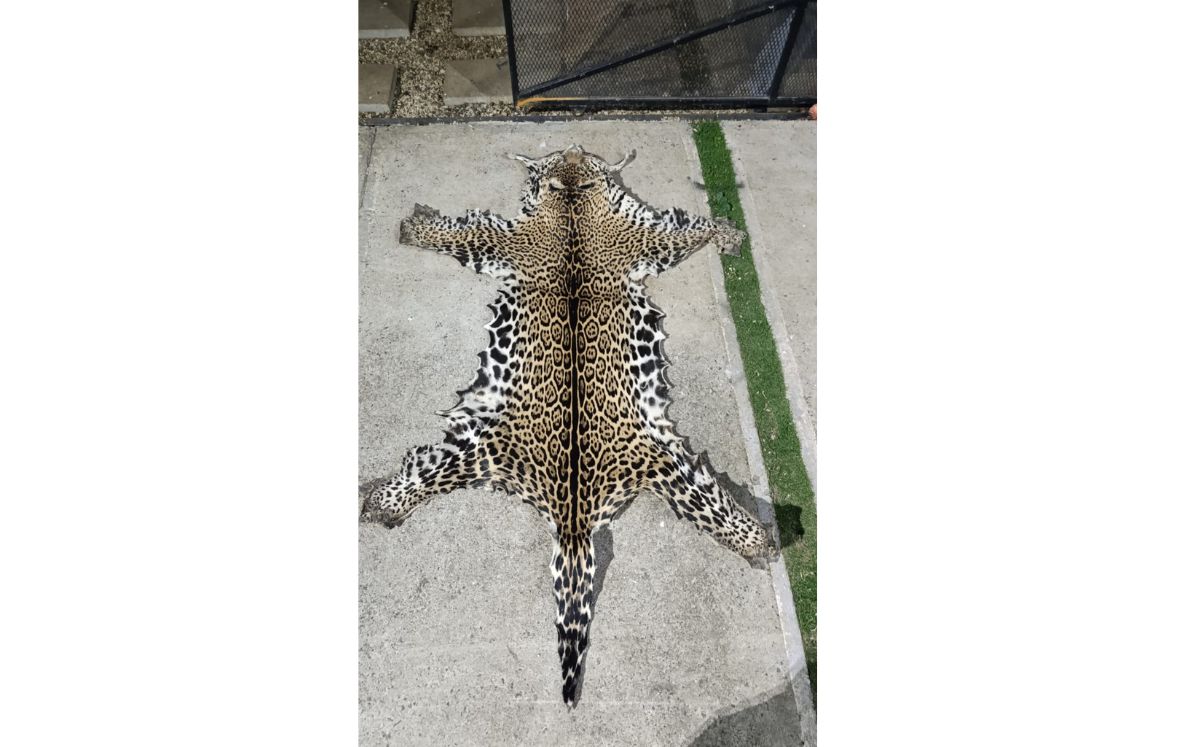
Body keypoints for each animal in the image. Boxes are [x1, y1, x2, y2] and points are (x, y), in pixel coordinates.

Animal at [361, 144, 775, 706]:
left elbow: (691, 229)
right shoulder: (515, 240)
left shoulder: (642, 236)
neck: (574, 199)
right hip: (488, 447)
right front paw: (416, 228)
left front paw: (728, 233)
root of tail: (574, 522)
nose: (575, 147)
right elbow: (458, 233)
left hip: (656, 462)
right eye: (560, 155)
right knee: (421, 471)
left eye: (577, 157)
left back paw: (756, 537)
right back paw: (384, 501)